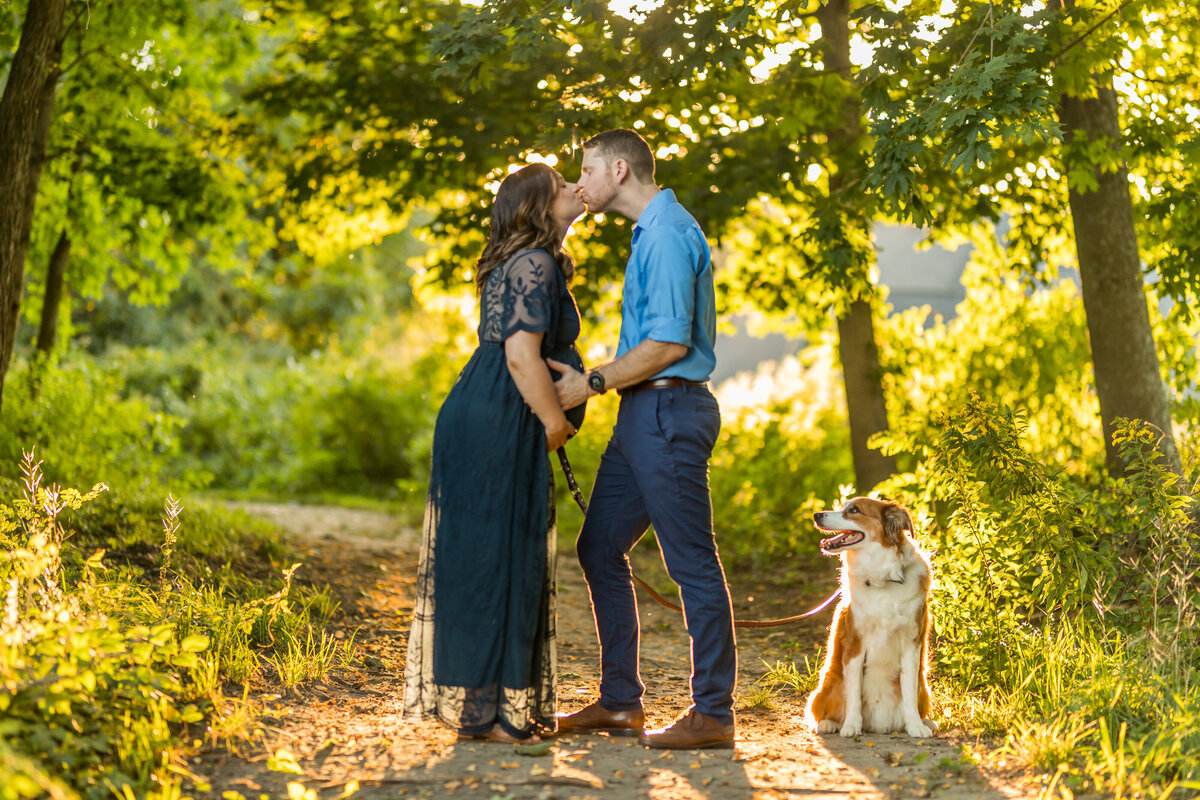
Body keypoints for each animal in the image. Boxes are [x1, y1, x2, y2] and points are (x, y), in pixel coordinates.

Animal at [806, 496, 936, 743]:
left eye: (854, 510)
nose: (817, 515)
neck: (882, 578)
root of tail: (881, 726)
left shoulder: (911, 644)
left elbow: (908, 690)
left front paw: (915, 726)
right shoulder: (854, 644)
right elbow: (854, 692)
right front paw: (851, 725)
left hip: (924, 689)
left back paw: (926, 722)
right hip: (829, 683)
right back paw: (828, 724)